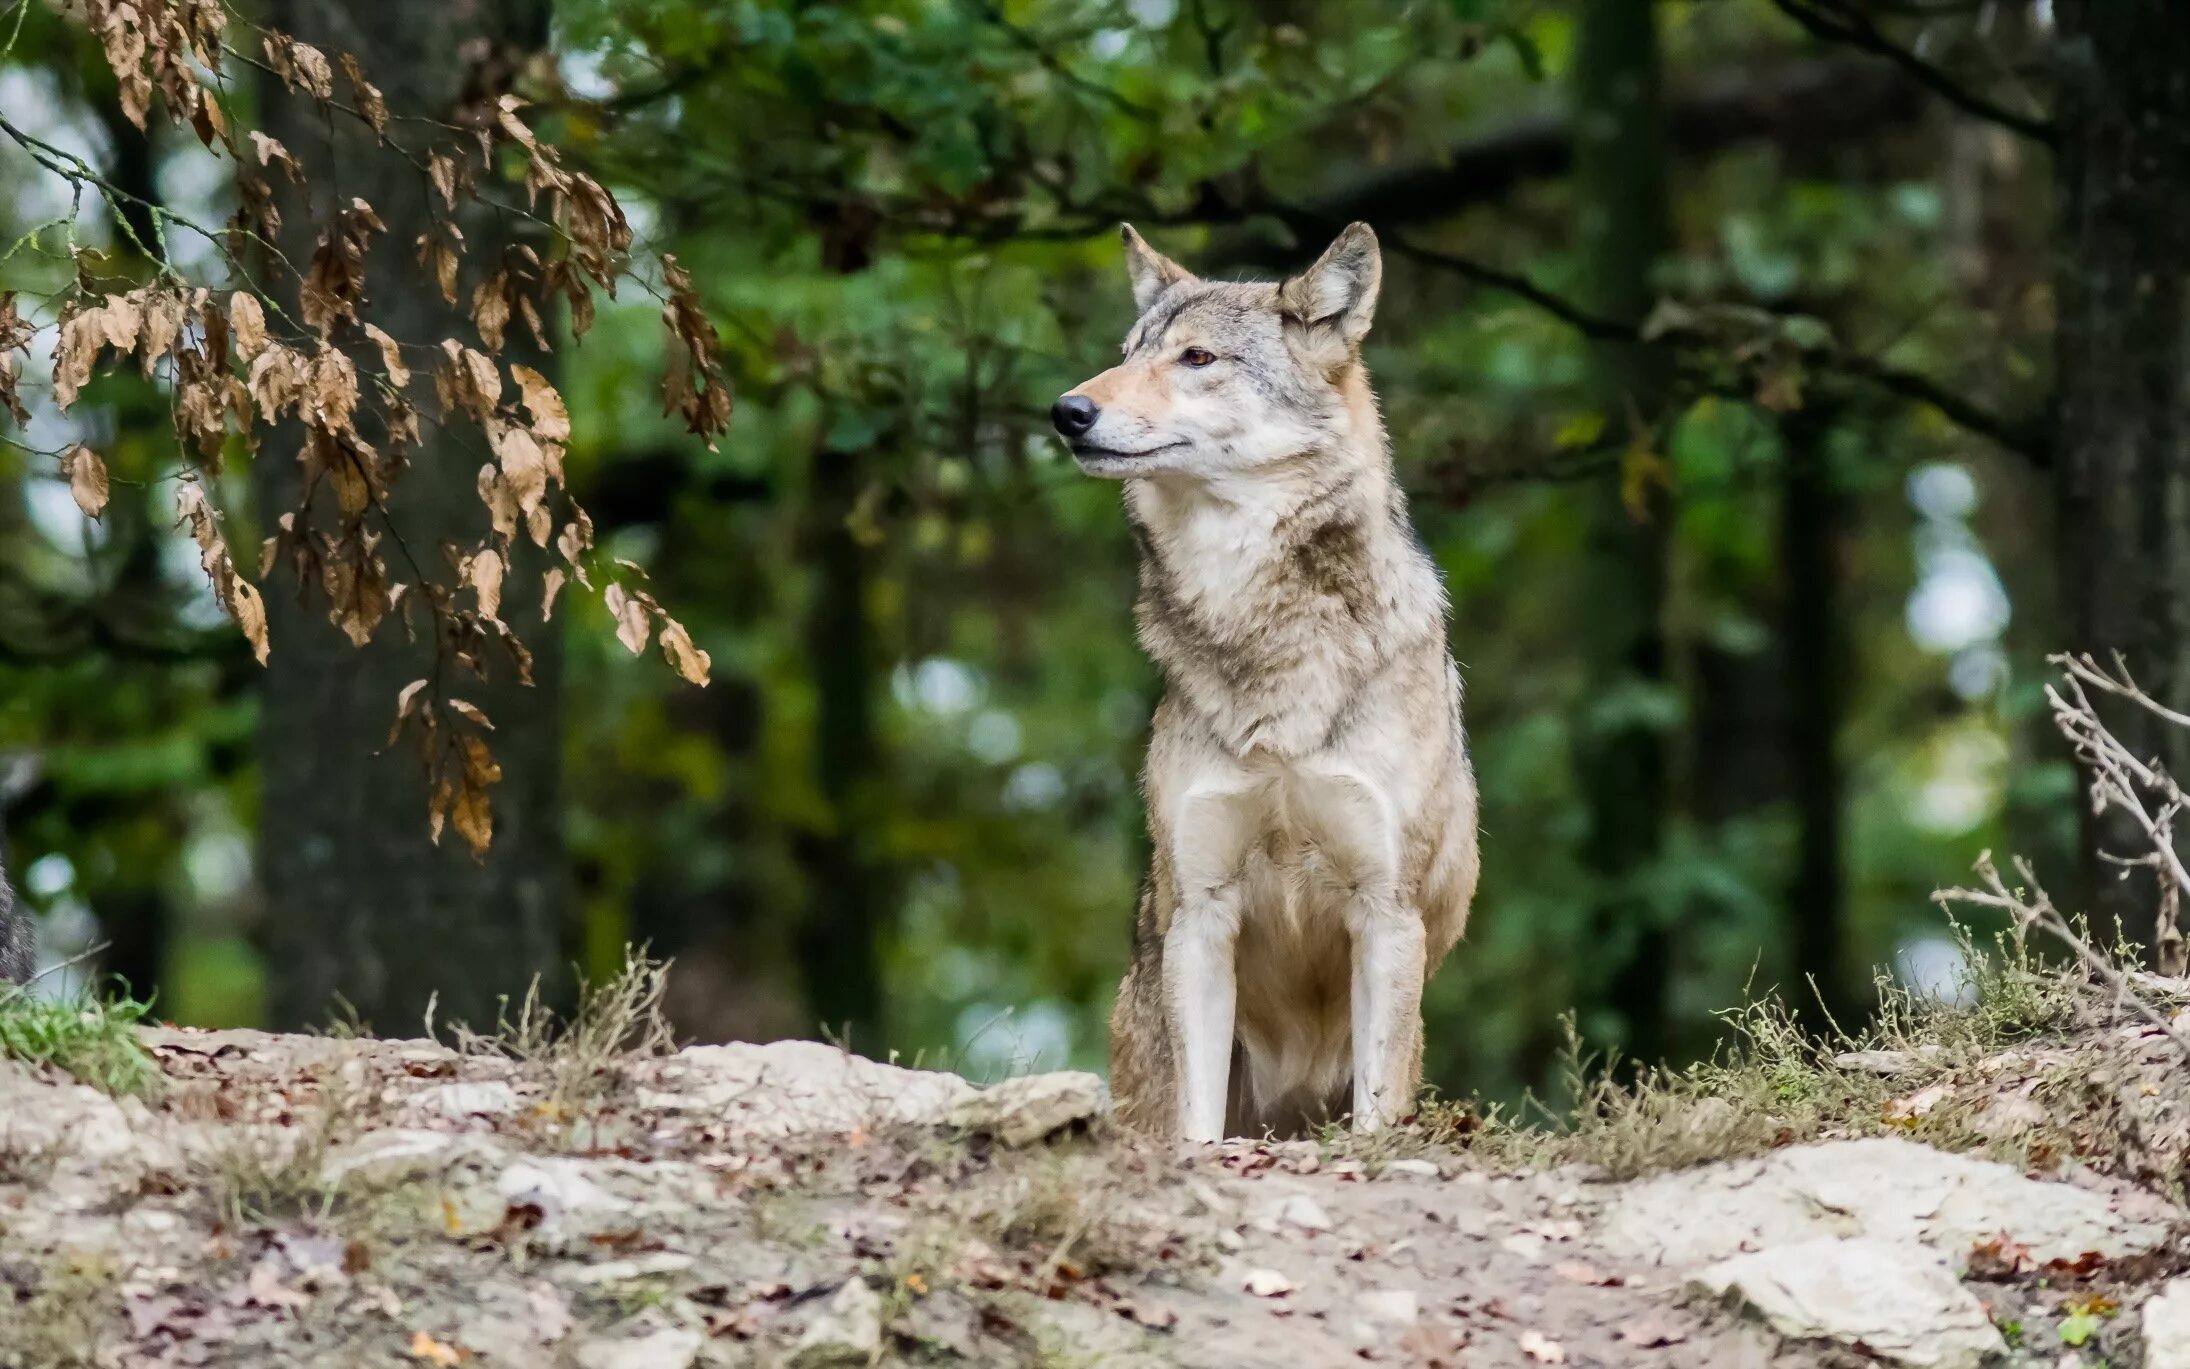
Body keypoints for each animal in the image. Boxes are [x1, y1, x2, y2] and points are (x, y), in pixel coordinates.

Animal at [1051, 226, 1480, 1139]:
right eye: (1126, 354)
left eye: (1197, 357)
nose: (1067, 411)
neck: (1265, 633)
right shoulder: (1202, 914)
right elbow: (1198, 1124)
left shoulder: (1385, 912)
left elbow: (1374, 1113)